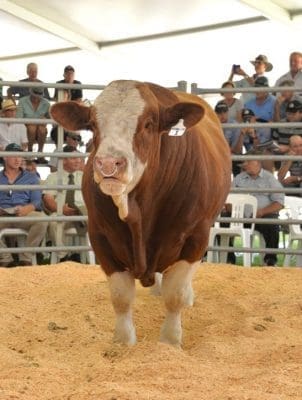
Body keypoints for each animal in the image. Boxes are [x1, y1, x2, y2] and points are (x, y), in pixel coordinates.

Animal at [50, 80, 231, 346]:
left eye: (148, 124)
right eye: (92, 125)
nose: (108, 164)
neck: (136, 211)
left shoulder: (196, 235)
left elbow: (175, 294)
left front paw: (170, 341)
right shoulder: (100, 237)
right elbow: (120, 296)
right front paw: (123, 341)